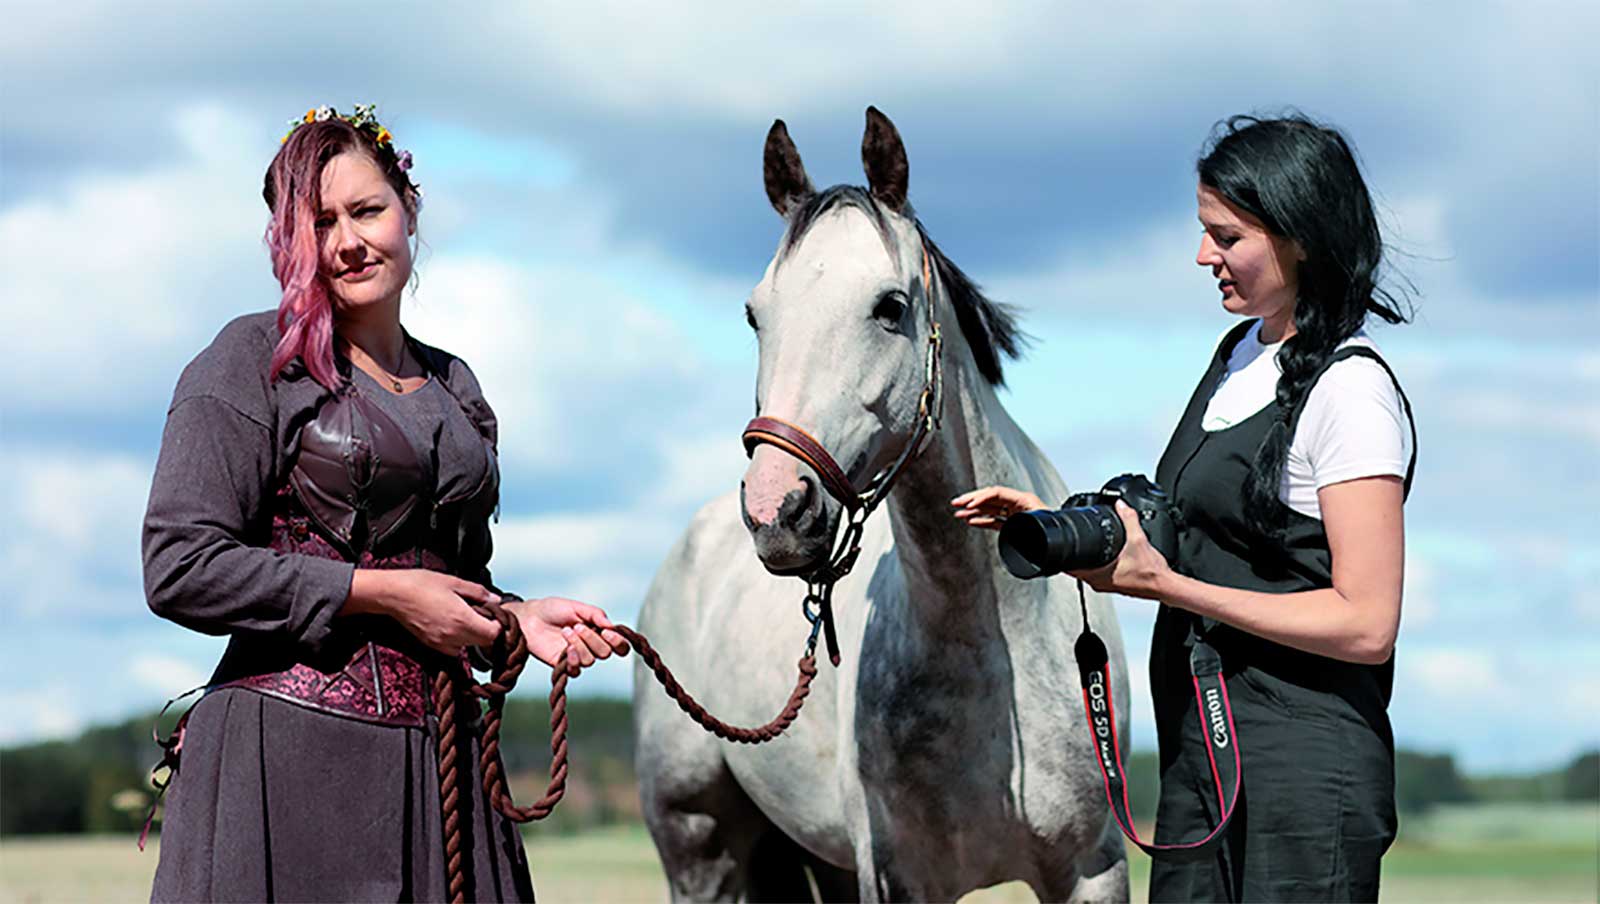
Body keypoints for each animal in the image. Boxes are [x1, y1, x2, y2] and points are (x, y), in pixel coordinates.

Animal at [630, 109, 1132, 896]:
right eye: (754, 316)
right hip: (700, 850)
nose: (777, 512)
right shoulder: (897, 878)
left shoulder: (1093, 869)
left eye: (890, 306)